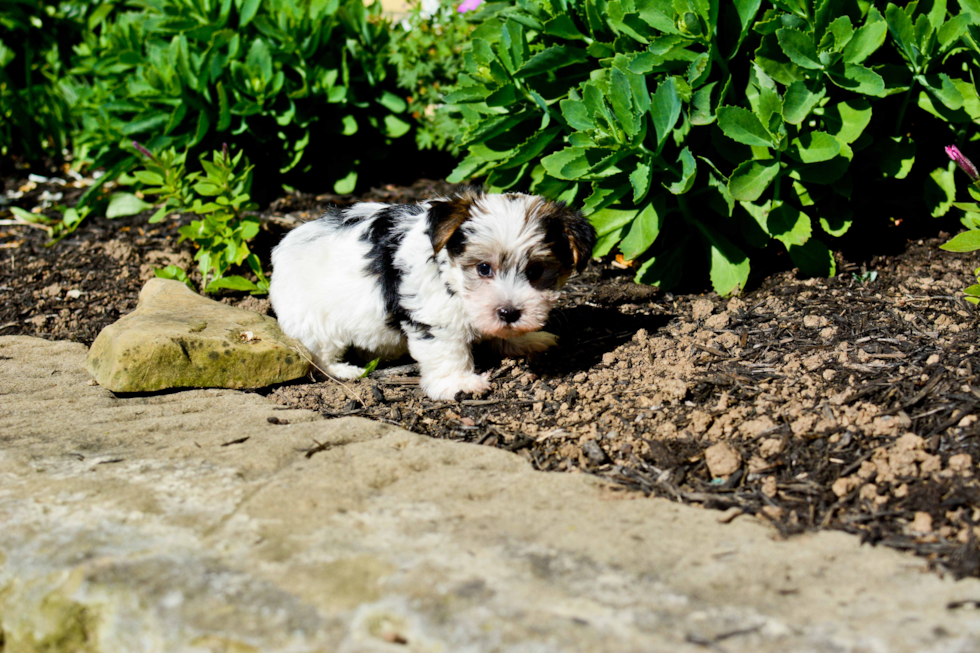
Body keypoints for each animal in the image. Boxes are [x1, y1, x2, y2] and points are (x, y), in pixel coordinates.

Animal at [264, 188, 596, 400]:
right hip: (315, 318)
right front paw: (458, 384)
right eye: (483, 268)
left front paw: (526, 340)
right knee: (320, 354)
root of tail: (283, 246)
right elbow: (447, 350)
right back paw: (345, 371)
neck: (451, 275)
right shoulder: (434, 315)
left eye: (537, 270)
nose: (509, 312)